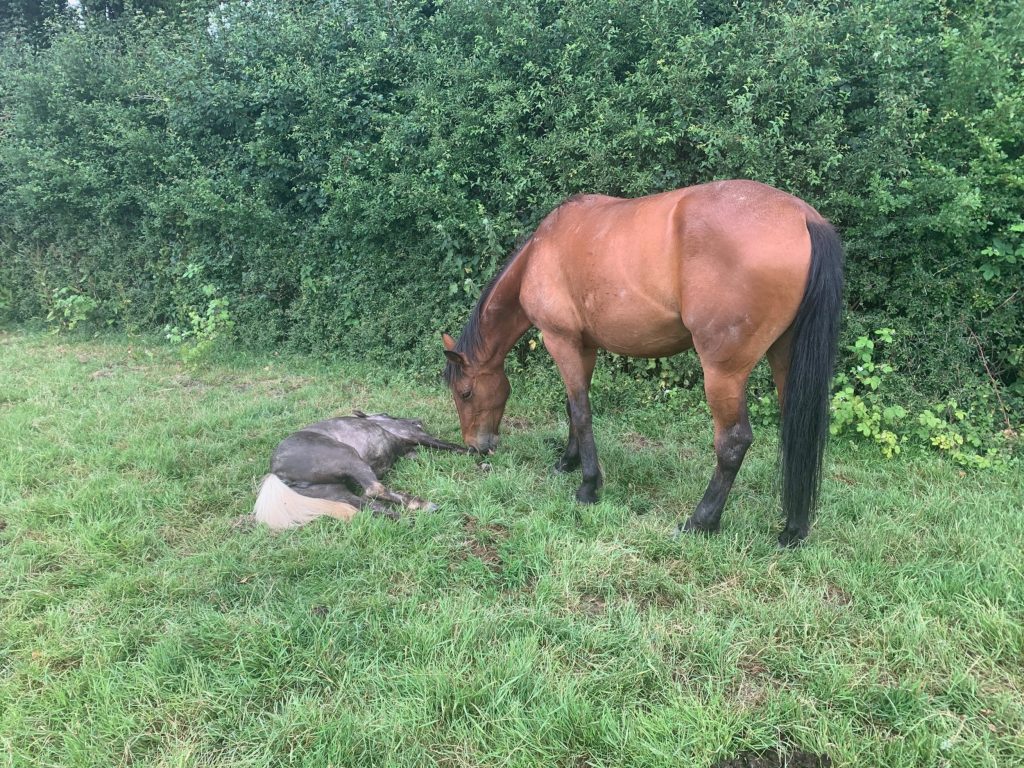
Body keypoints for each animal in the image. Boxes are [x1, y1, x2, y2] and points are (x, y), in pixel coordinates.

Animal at [440, 179, 839, 548]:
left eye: (465, 392)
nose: (475, 447)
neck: (541, 251)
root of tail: (804, 216)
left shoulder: (560, 340)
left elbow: (581, 411)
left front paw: (588, 486)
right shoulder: (584, 347)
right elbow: (573, 407)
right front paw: (567, 463)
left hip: (723, 373)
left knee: (733, 442)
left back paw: (700, 522)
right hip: (784, 359)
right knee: (796, 431)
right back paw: (793, 530)